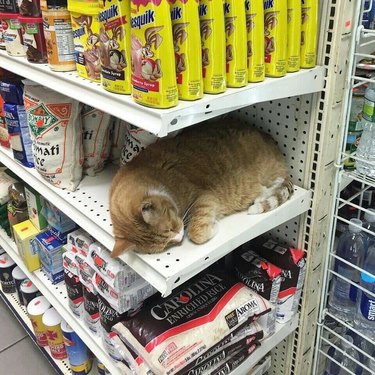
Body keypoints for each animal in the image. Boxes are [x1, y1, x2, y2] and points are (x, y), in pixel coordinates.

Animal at [108, 122, 294, 258]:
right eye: (168, 243)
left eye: (170, 229)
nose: (179, 237)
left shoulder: (204, 197)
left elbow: (197, 232)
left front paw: (212, 227)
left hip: (266, 173)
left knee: (275, 182)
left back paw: (260, 196)